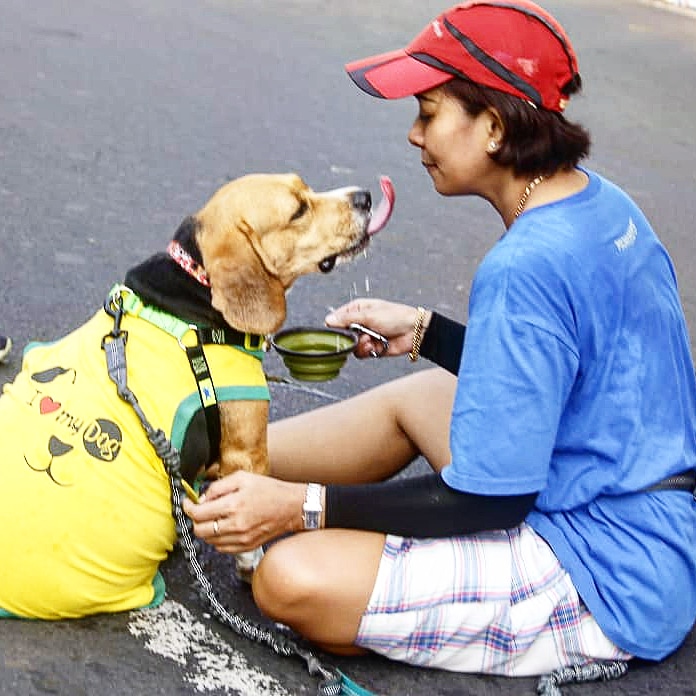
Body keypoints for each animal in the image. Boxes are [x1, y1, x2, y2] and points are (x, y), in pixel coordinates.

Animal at [0, 171, 392, 616]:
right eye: (298, 210)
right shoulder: (247, 452)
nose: (364, 197)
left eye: (305, 187)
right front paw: (251, 563)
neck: (194, 293)